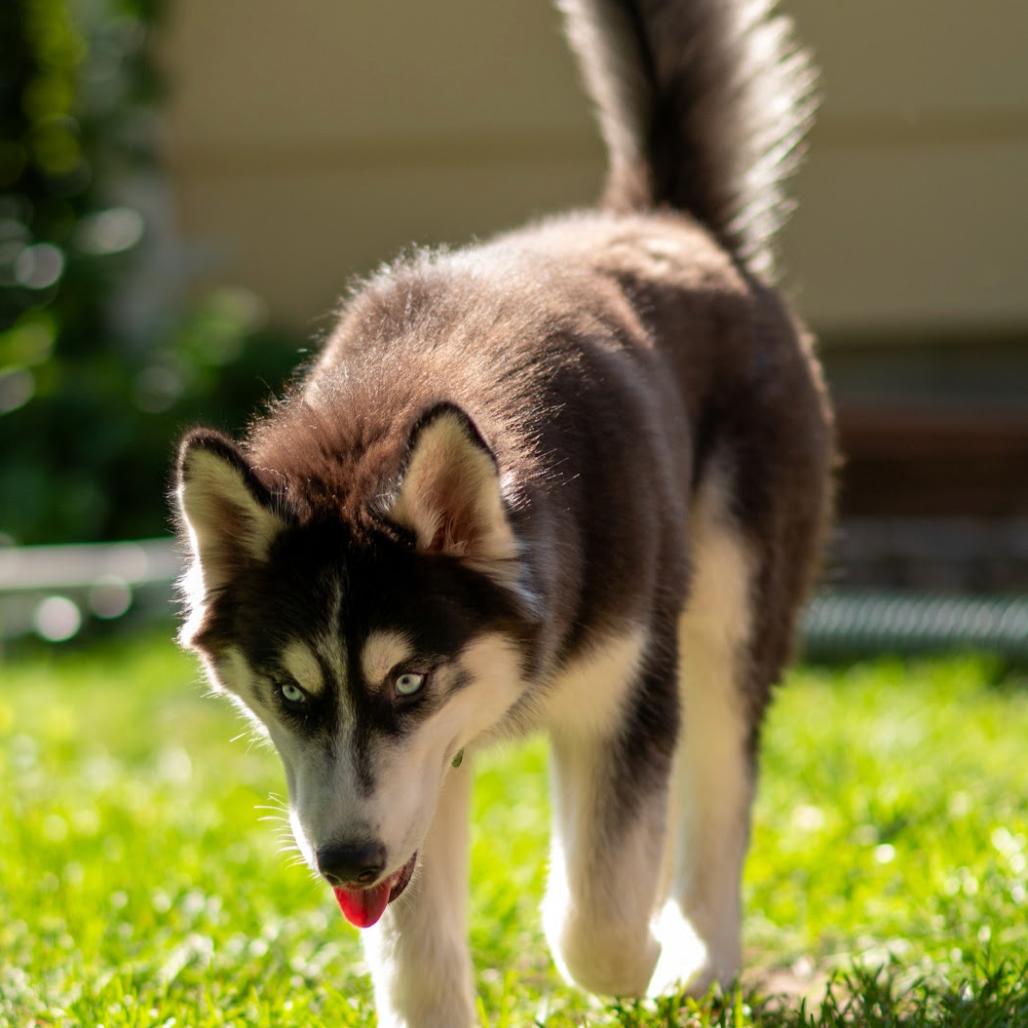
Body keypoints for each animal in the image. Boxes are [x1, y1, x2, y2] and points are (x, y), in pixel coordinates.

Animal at [173, 1, 833, 1025]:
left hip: (730, 614)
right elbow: (418, 961)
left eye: (408, 681)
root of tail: (664, 220)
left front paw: (637, 956)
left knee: (722, 790)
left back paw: (698, 956)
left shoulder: (624, 692)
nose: (345, 861)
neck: (408, 388)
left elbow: (596, 917)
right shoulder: (419, 785)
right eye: (290, 693)